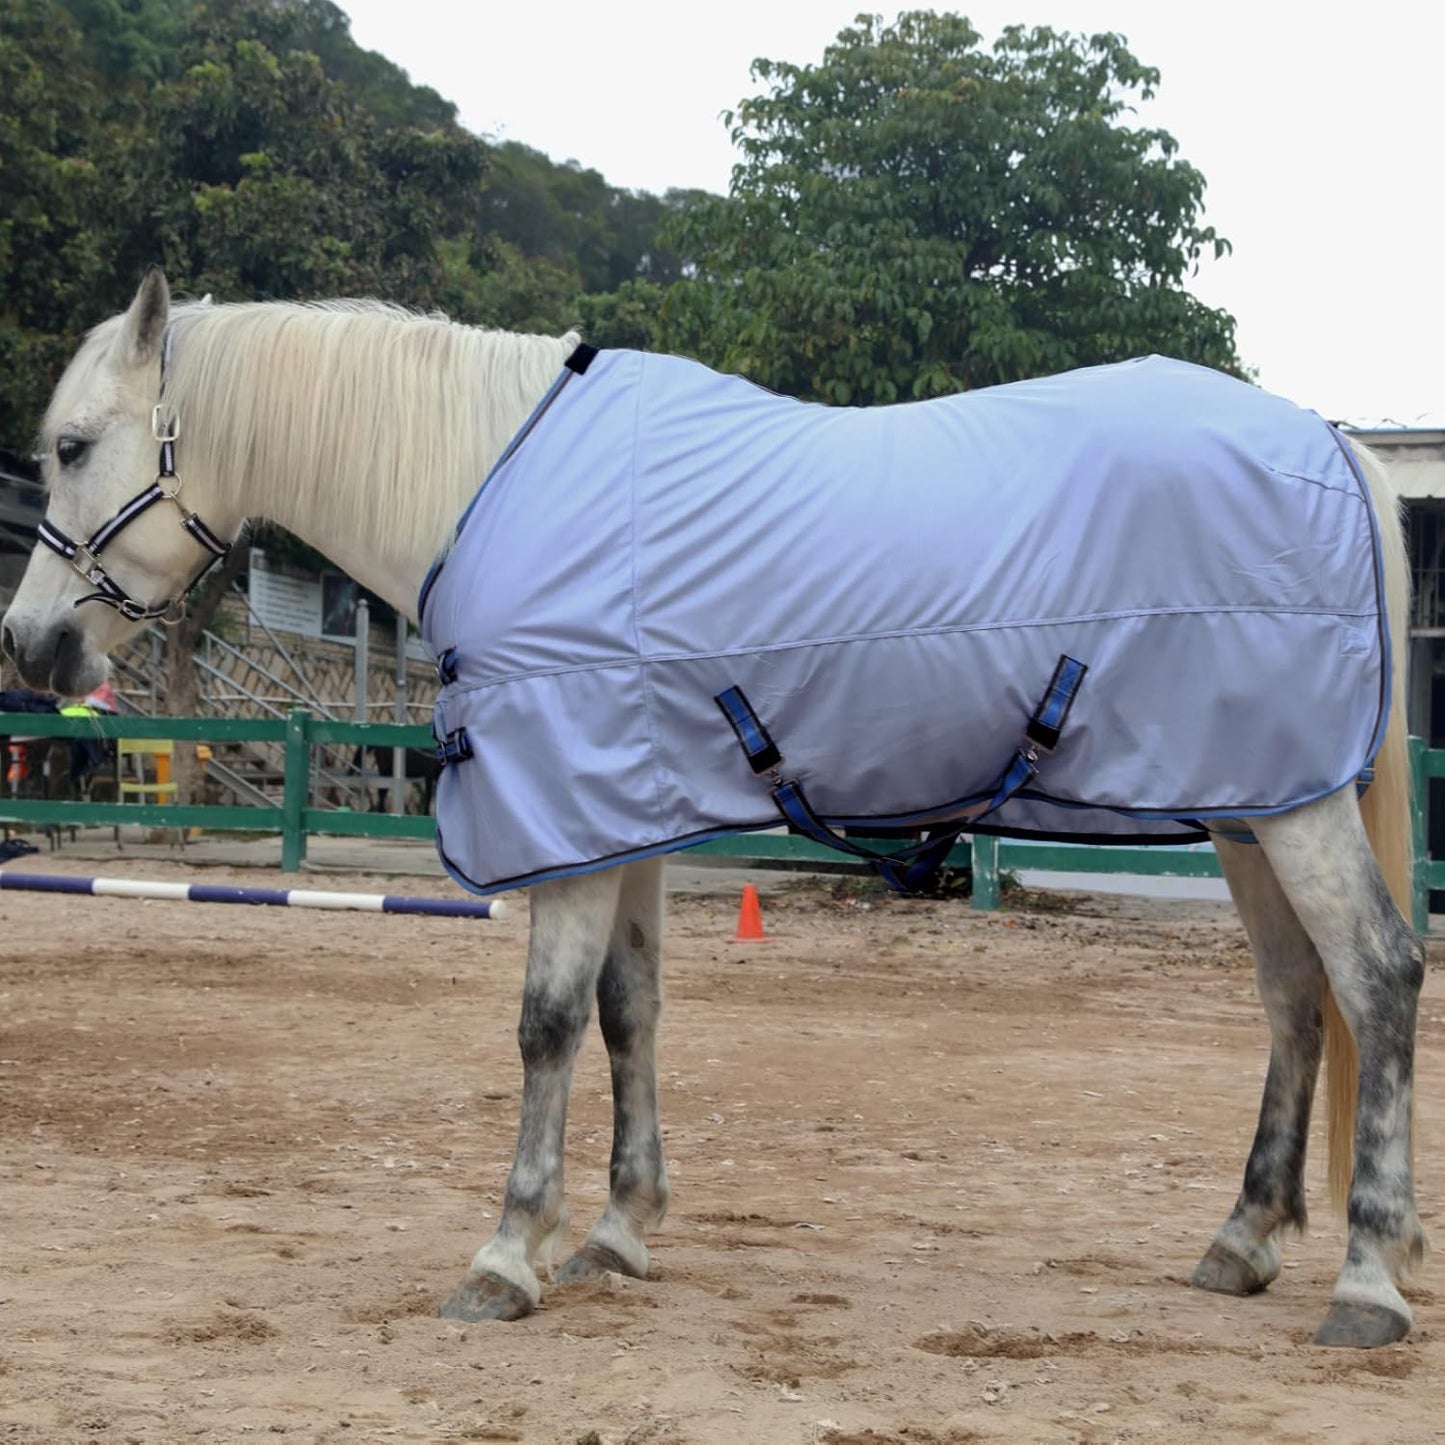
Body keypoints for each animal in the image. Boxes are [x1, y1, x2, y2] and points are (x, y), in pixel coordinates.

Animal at [1, 269, 1425, 1349]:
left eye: (72, 448)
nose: (29, 644)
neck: (485, 481)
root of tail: (1322, 437)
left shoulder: (565, 814)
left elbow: (545, 1023)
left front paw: (506, 1251)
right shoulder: (614, 810)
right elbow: (627, 1010)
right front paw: (618, 1230)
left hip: (1288, 812)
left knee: (1375, 975)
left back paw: (1365, 1277)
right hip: (1250, 803)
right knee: (1294, 998)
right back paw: (1241, 1240)